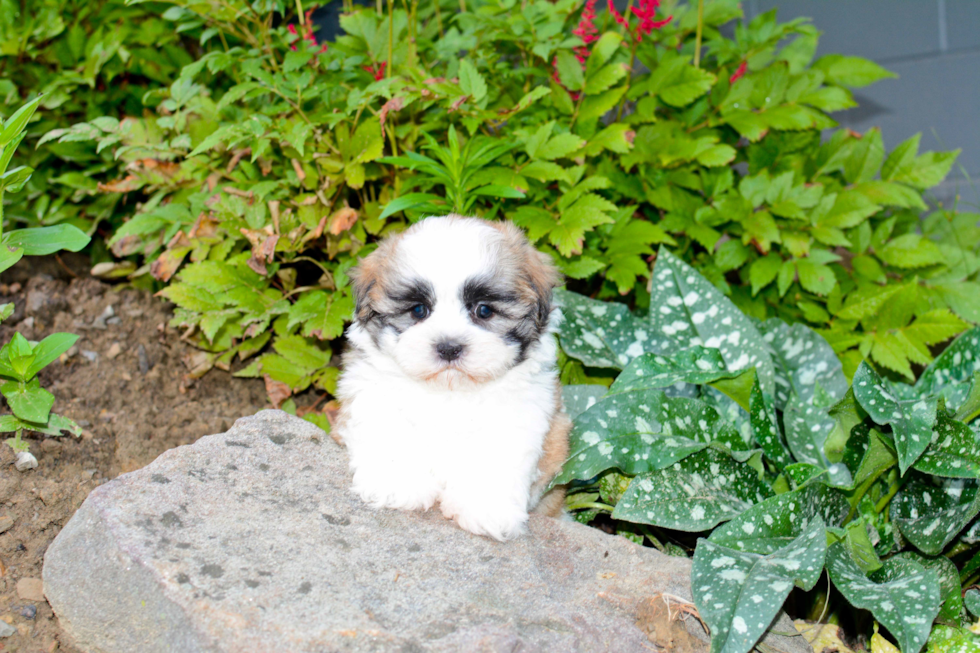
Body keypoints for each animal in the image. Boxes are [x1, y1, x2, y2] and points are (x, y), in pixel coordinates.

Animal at [334, 214, 572, 540]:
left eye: (483, 311)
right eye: (418, 310)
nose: (449, 347)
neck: (449, 390)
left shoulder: (522, 412)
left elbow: (497, 454)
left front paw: (485, 510)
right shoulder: (372, 390)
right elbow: (391, 430)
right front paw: (397, 483)